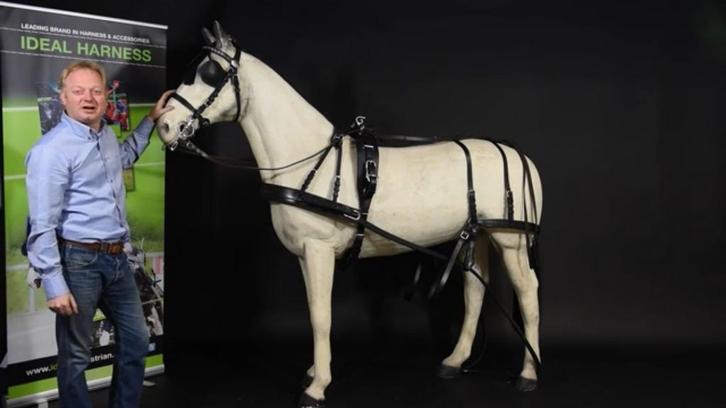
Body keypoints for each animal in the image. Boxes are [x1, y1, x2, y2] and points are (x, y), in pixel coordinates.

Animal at [158, 21, 543, 408]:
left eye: (210, 73)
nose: (164, 125)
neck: (311, 160)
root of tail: (522, 157)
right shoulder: (305, 254)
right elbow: (314, 311)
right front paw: (314, 371)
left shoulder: (318, 249)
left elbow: (321, 317)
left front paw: (317, 386)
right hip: (479, 234)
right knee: (475, 288)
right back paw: (454, 361)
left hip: (510, 240)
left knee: (527, 292)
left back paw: (528, 373)